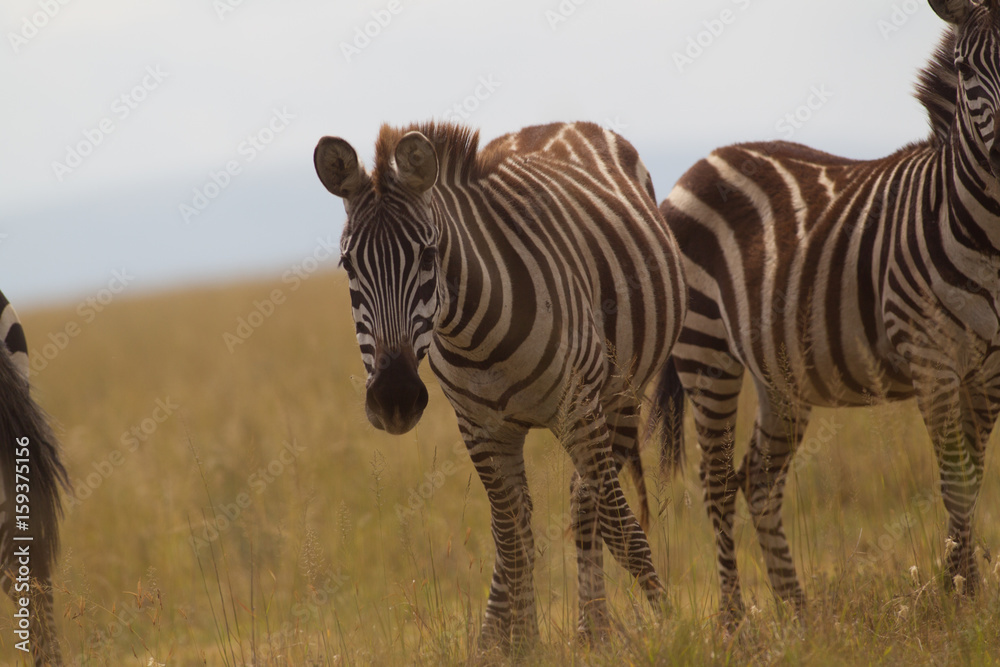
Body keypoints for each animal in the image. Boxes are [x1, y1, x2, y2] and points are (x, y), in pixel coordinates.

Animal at [314, 121, 685, 649]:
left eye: (428, 255)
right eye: (348, 266)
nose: (394, 398)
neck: (474, 337)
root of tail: (556, 124)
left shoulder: (580, 407)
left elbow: (618, 525)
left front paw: (671, 624)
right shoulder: (481, 430)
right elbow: (511, 537)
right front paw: (519, 643)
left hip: (617, 396)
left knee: (588, 504)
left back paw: (594, 629)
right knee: (539, 516)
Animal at [650, 0, 1000, 622]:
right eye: (961, 68)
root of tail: (700, 163)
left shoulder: (992, 369)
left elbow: (976, 478)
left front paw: (963, 588)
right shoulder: (931, 358)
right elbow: (956, 478)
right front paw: (959, 596)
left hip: (778, 373)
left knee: (759, 479)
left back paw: (798, 613)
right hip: (707, 351)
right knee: (715, 480)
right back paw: (734, 622)